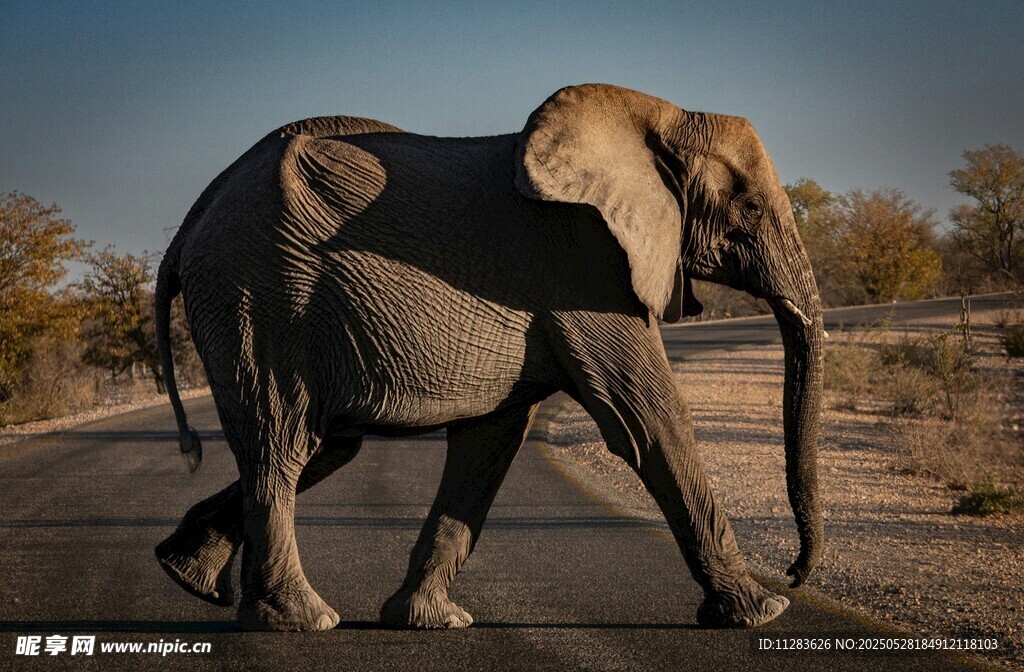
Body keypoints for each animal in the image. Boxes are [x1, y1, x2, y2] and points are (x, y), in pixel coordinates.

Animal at [153, 84, 824, 632]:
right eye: (749, 210)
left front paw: (430, 621)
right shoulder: (585, 264)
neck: (659, 115)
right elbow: (650, 420)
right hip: (258, 297)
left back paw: (187, 575)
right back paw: (300, 619)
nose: (796, 572)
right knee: (282, 444)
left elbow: (489, 443)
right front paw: (763, 612)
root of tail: (189, 224)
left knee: (322, 445)